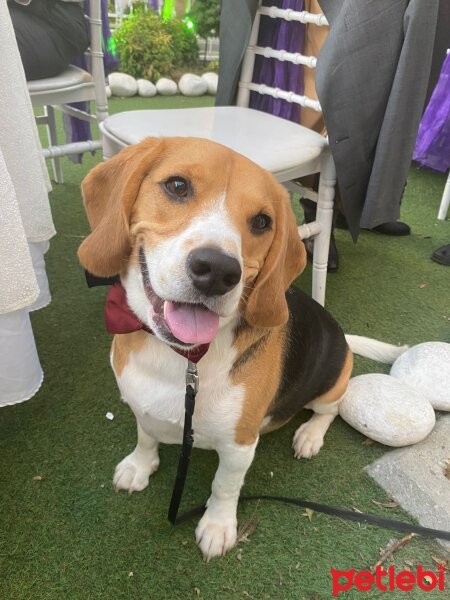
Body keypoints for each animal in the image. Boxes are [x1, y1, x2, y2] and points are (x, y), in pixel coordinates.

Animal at [76, 138, 358, 560]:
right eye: (177, 186)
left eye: (262, 222)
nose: (218, 270)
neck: (182, 357)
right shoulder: (140, 406)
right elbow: (145, 435)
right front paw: (139, 467)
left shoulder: (240, 445)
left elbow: (225, 486)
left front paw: (217, 526)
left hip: (333, 381)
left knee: (330, 410)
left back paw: (309, 435)